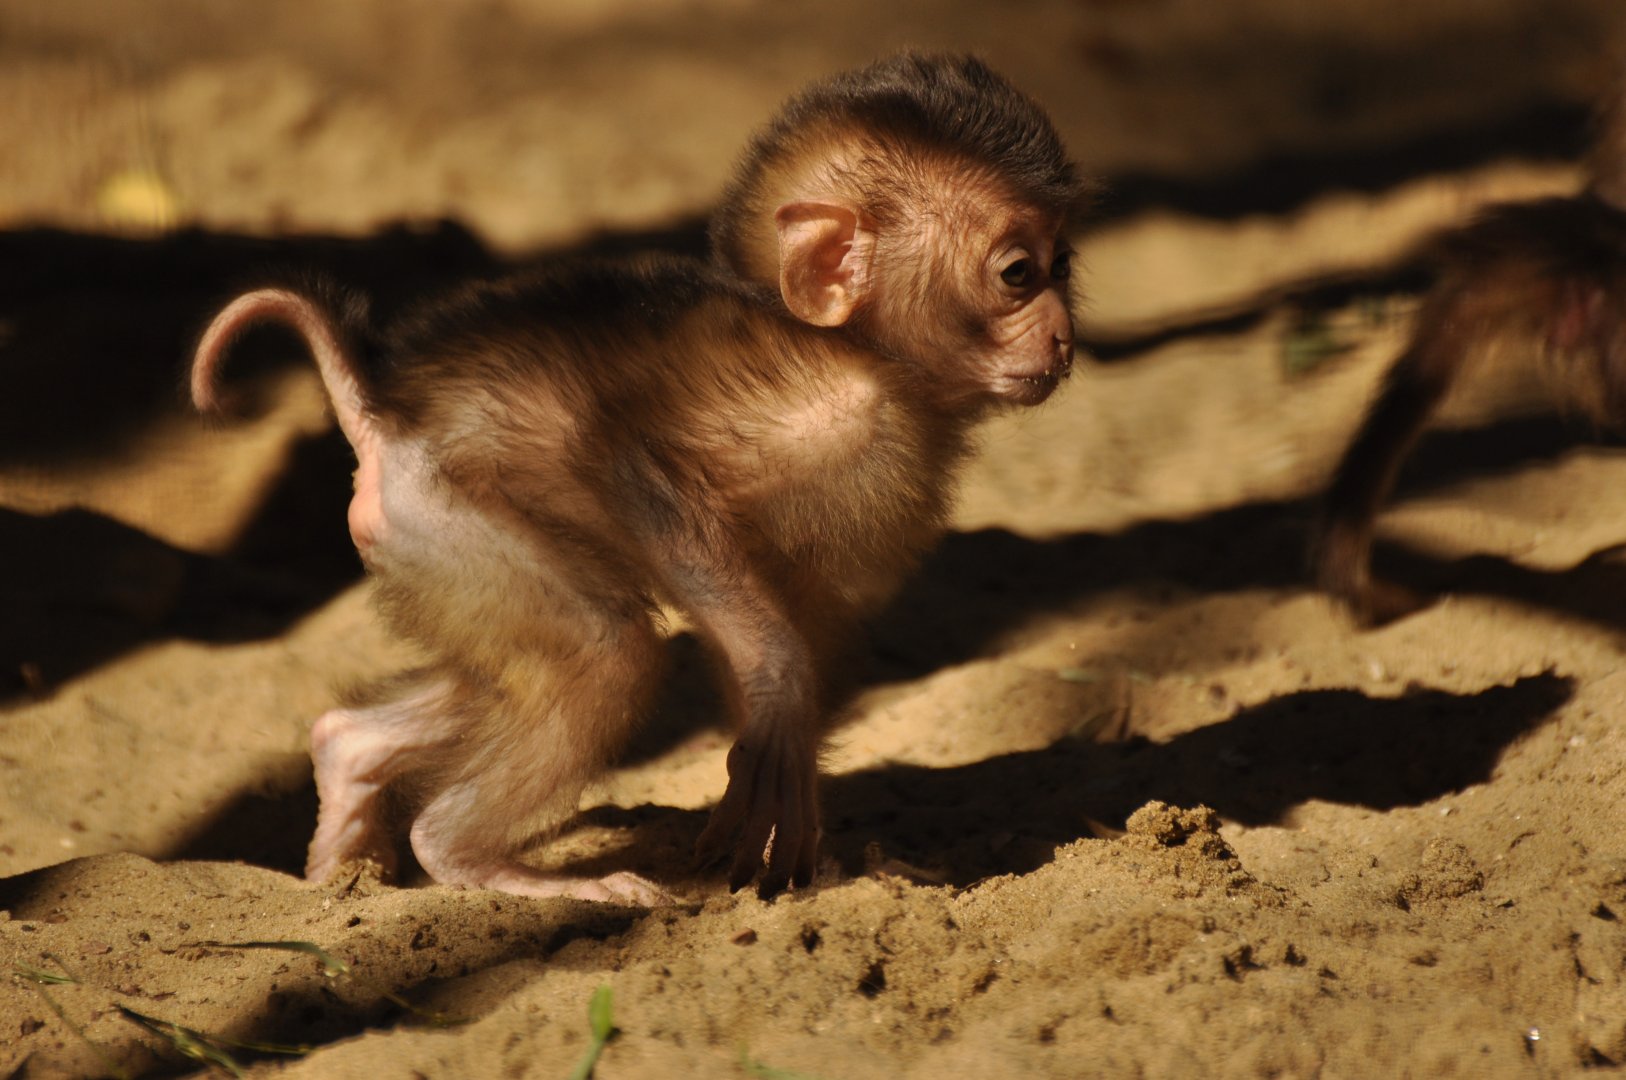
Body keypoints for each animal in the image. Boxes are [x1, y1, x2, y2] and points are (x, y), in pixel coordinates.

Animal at [190, 53, 1083, 902]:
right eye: (1017, 273)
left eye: (1060, 266)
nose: (1064, 335)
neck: (862, 354)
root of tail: (384, 421)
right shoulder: (815, 416)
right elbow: (633, 465)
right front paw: (777, 694)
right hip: (447, 520)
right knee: (605, 649)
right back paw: (479, 860)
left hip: (431, 560)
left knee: (479, 680)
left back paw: (346, 797)